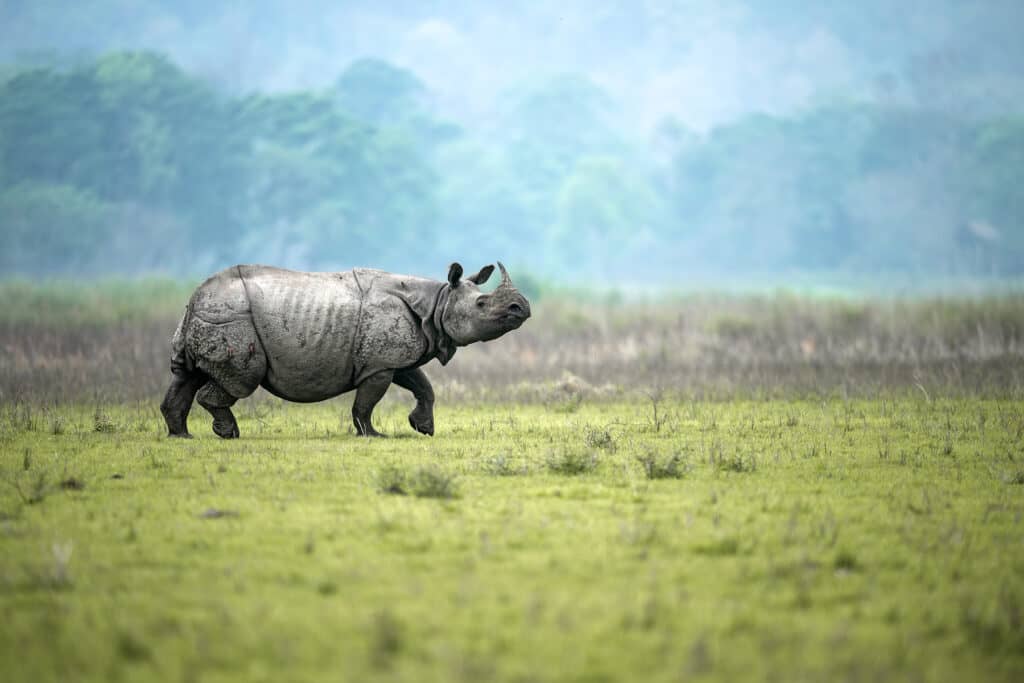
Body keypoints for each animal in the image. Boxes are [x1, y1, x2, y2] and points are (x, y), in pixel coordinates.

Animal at [161, 262, 528, 438]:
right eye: (482, 304)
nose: (521, 308)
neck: (437, 302)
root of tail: (195, 297)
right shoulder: (379, 364)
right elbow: (366, 403)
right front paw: (374, 435)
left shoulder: (393, 356)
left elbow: (424, 386)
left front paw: (422, 428)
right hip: (232, 317)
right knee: (240, 380)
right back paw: (229, 434)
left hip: (209, 315)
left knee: (187, 376)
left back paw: (182, 436)